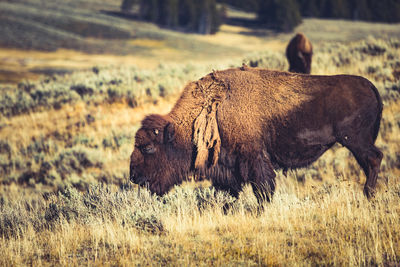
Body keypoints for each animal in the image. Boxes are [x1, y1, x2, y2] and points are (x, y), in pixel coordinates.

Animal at [130, 65, 382, 207]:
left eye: (149, 148)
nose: (134, 176)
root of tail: (370, 86)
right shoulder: (228, 169)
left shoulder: (254, 158)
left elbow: (263, 188)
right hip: (357, 143)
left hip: (356, 141)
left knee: (374, 159)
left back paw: (368, 195)